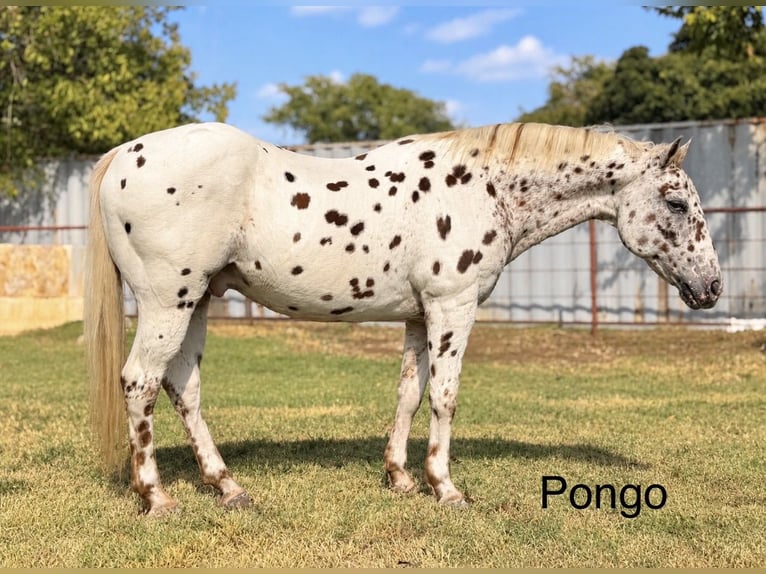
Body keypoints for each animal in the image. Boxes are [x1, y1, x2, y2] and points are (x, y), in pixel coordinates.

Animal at [84, 121, 722, 515]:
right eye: (675, 202)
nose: (711, 287)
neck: (482, 187)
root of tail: (124, 156)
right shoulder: (452, 306)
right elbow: (444, 396)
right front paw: (446, 487)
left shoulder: (419, 317)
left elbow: (409, 395)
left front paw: (400, 477)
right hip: (168, 301)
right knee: (140, 382)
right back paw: (156, 498)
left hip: (196, 302)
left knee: (183, 387)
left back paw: (228, 487)